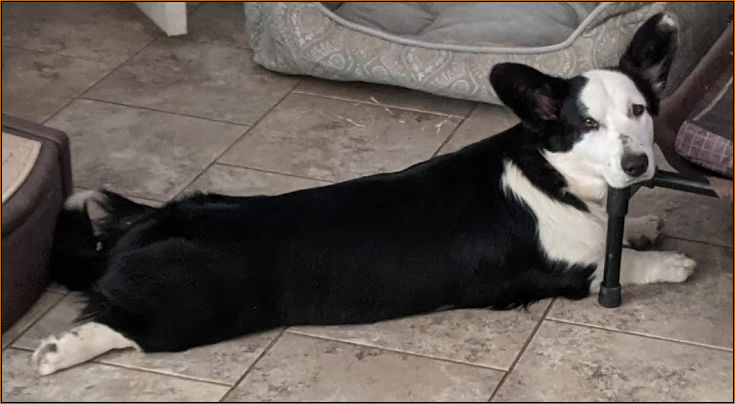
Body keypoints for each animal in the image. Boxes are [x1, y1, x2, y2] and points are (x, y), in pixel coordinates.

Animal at [32, 13, 694, 376]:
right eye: (587, 124)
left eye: (639, 111)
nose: (639, 164)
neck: (553, 172)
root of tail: (140, 233)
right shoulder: (568, 272)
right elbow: (623, 263)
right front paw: (672, 261)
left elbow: (620, 232)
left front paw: (642, 225)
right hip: (188, 314)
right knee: (121, 325)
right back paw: (58, 350)